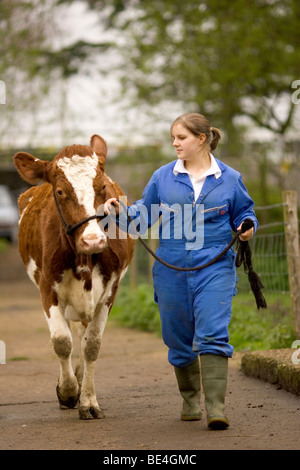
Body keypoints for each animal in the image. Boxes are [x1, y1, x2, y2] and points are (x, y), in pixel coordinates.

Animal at [14, 134, 134, 420]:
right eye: (60, 191)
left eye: (102, 186)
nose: (93, 240)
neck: (84, 258)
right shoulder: (47, 287)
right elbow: (61, 341)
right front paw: (67, 392)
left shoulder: (110, 291)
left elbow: (92, 345)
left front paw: (88, 400)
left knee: (82, 332)